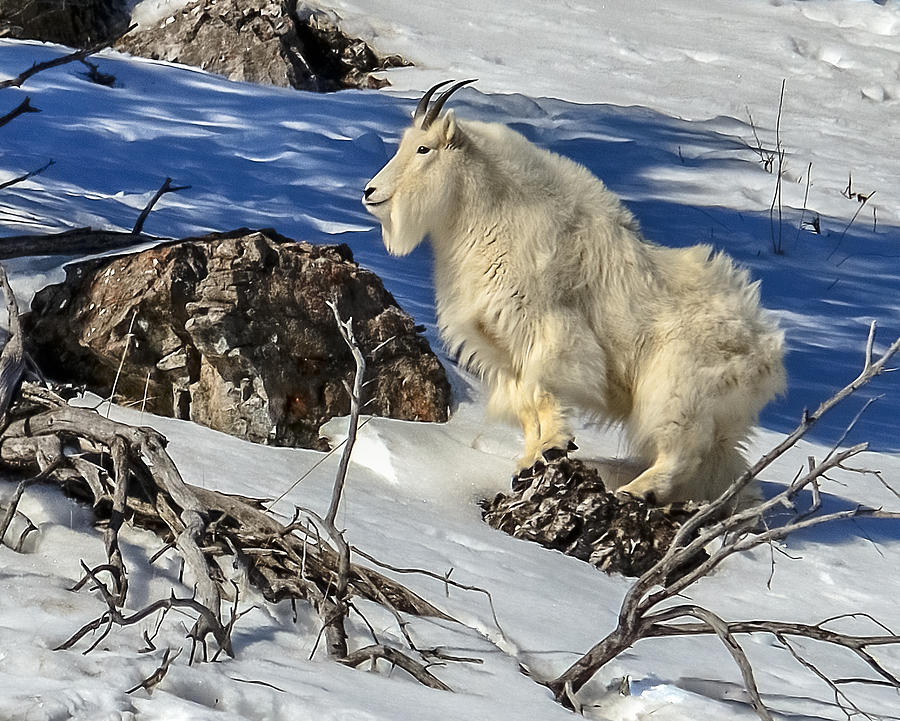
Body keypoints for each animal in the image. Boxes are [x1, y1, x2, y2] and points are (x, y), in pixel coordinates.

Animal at [362, 79, 784, 504]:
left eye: (423, 148)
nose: (370, 192)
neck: (489, 217)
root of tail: (767, 351)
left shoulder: (549, 330)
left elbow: (543, 391)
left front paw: (554, 446)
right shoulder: (501, 348)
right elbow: (525, 404)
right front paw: (528, 463)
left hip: (677, 388)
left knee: (681, 451)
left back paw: (635, 491)